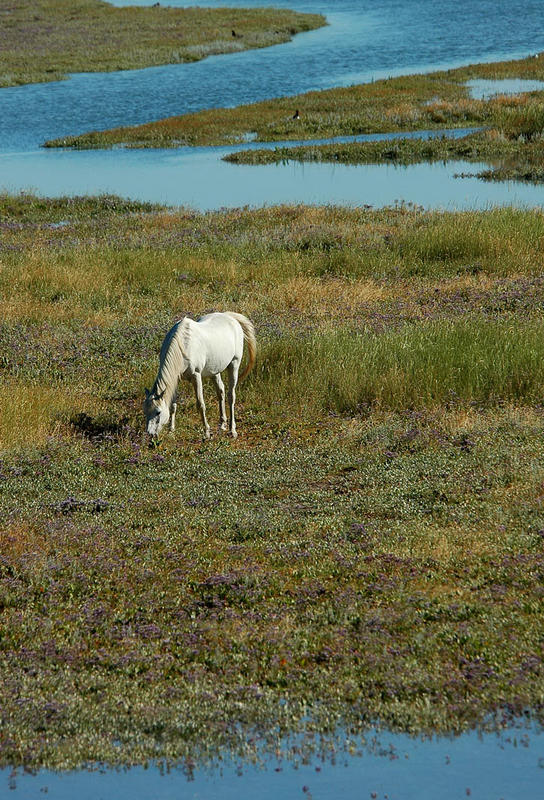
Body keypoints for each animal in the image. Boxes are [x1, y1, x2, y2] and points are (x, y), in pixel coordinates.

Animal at [143, 310, 256, 438]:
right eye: (145, 411)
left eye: (158, 412)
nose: (150, 434)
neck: (183, 345)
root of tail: (230, 317)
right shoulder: (176, 378)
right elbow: (173, 405)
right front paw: (171, 430)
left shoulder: (196, 376)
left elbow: (200, 404)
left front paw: (206, 432)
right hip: (214, 371)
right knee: (220, 391)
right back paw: (222, 424)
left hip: (234, 364)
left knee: (231, 396)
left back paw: (232, 430)